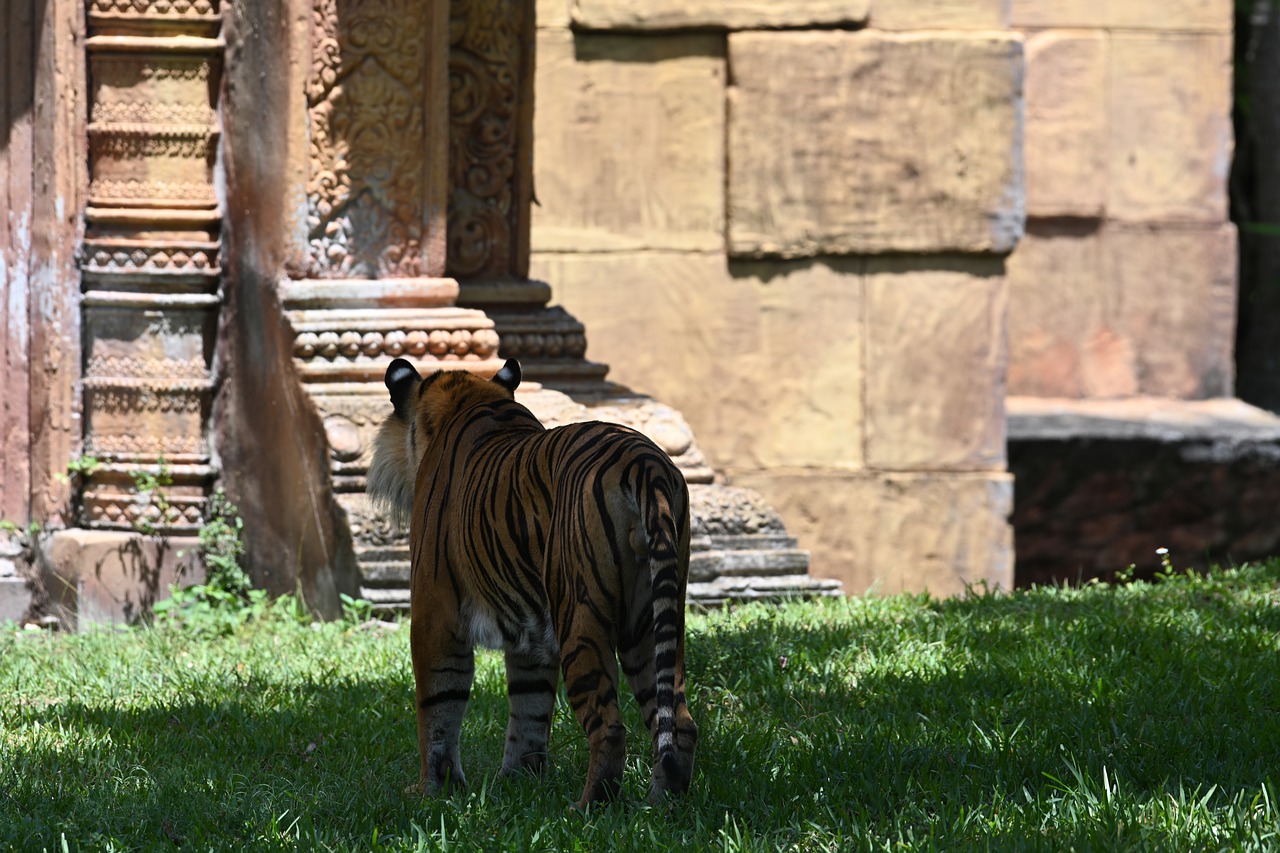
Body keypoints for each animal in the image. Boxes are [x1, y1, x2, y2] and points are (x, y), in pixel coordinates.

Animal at [366, 356, 696, 809]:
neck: (468, 398)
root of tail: (644, 463)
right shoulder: (529, 633)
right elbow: (529, 706)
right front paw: (517, 781)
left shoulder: (435, 611)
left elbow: (438, 707)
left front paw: (434, 790)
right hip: (651, 622)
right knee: (678, 720)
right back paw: (663, 805)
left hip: (581, 617)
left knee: (609, 725)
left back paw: (587, 808)